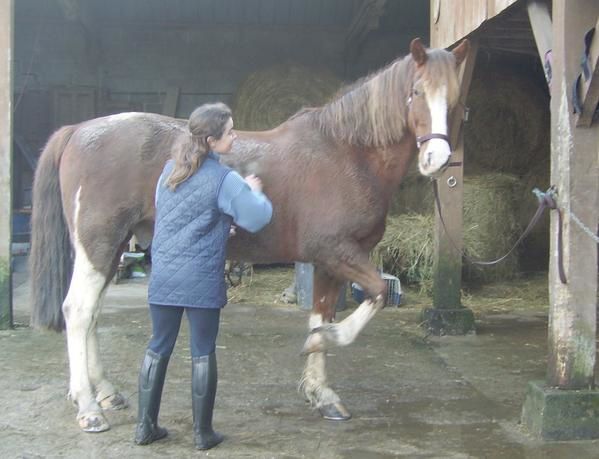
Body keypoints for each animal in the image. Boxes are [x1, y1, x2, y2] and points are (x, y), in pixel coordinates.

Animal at [29, 37, 468, 434]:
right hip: (98, 244)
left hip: (112, 247)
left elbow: (321, 313)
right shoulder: (337, 252)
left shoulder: (331, 262)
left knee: (92, 314)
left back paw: (105, 392)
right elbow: (374, 294)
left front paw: (322, 392)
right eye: (416, 92)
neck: (345, 153)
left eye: (456, 99)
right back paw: (88, 407)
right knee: (78, 311)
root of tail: (79, 130)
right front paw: (321, 343)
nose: (438, 160)